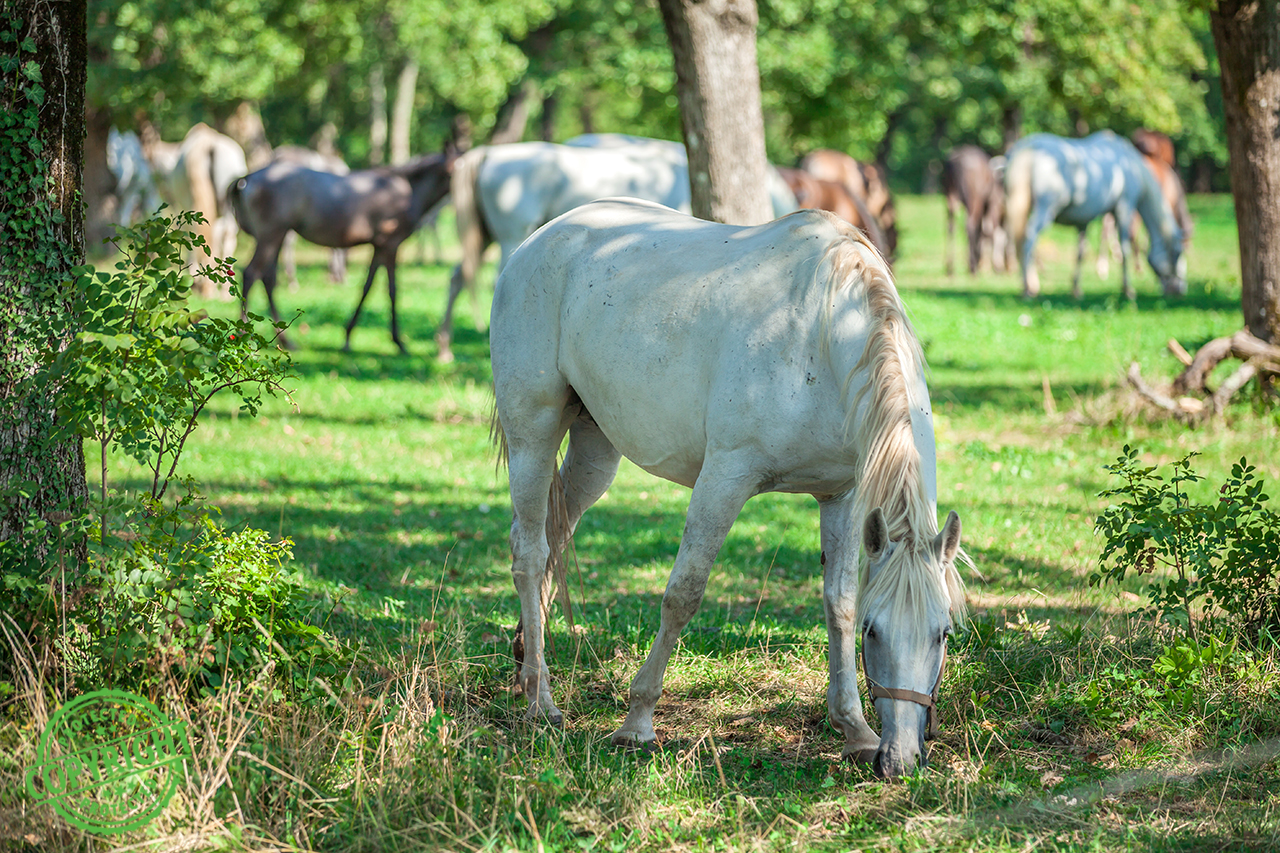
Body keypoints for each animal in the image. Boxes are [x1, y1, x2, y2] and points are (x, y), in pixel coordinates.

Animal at [230, 146, 455, 348]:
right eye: (451, 171)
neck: (408, 189)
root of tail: (247, 178)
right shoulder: (391, 244)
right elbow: (392, 290)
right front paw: (397, 341)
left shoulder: (379, 246)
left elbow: (367, 286)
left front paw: (348, 336)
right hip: (271, 235)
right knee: (251, 273)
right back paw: (243, 333)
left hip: (277, 236)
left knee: (267, 279)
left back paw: (285, 339)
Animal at [483, 199, 962, 778]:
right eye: (876, 631)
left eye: (942, 633)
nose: (901, 759)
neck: (823, 334)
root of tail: (541, 239)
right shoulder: (724, 480)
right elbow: (682, 595)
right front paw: (637, 722)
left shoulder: (843, 498)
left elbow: (838, 602)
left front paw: (855, 729)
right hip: (532, 433)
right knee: (530, 552)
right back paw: (541, 700)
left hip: (595, 451)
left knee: (556, 536)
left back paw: (524, 661)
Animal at [942, 144, 1008, 274]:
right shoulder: (994, 205)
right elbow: (992, 232)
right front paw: (995, 266)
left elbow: (985, 232)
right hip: (974, 200)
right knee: (970, 225)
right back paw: (973, 267)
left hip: (951, 197)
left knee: (951, 226)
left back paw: (950, 267)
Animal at [1003, 131, 1182, 300]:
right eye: (1178, 254)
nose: (1179, 290)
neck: (1131, 166)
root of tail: (1028, 148)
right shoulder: (1124, 207)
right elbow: (1125, 249)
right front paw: (1128, 290)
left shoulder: (1084, 220)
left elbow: (1080, 252)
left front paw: (1076, 290)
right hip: (1045, 210)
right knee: (1028, 241)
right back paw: (1029, 288)